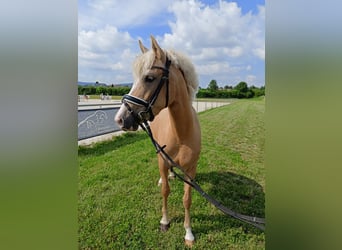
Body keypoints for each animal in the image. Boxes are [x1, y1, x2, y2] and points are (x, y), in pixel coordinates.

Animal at [115, 35, 200, 246]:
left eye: (149, 78)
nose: (120, 119)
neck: (181, 133)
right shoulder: (162, 160)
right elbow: (165, 192)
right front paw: (165, 221)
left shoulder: (191, 169)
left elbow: (187, 198)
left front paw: (188, 233)